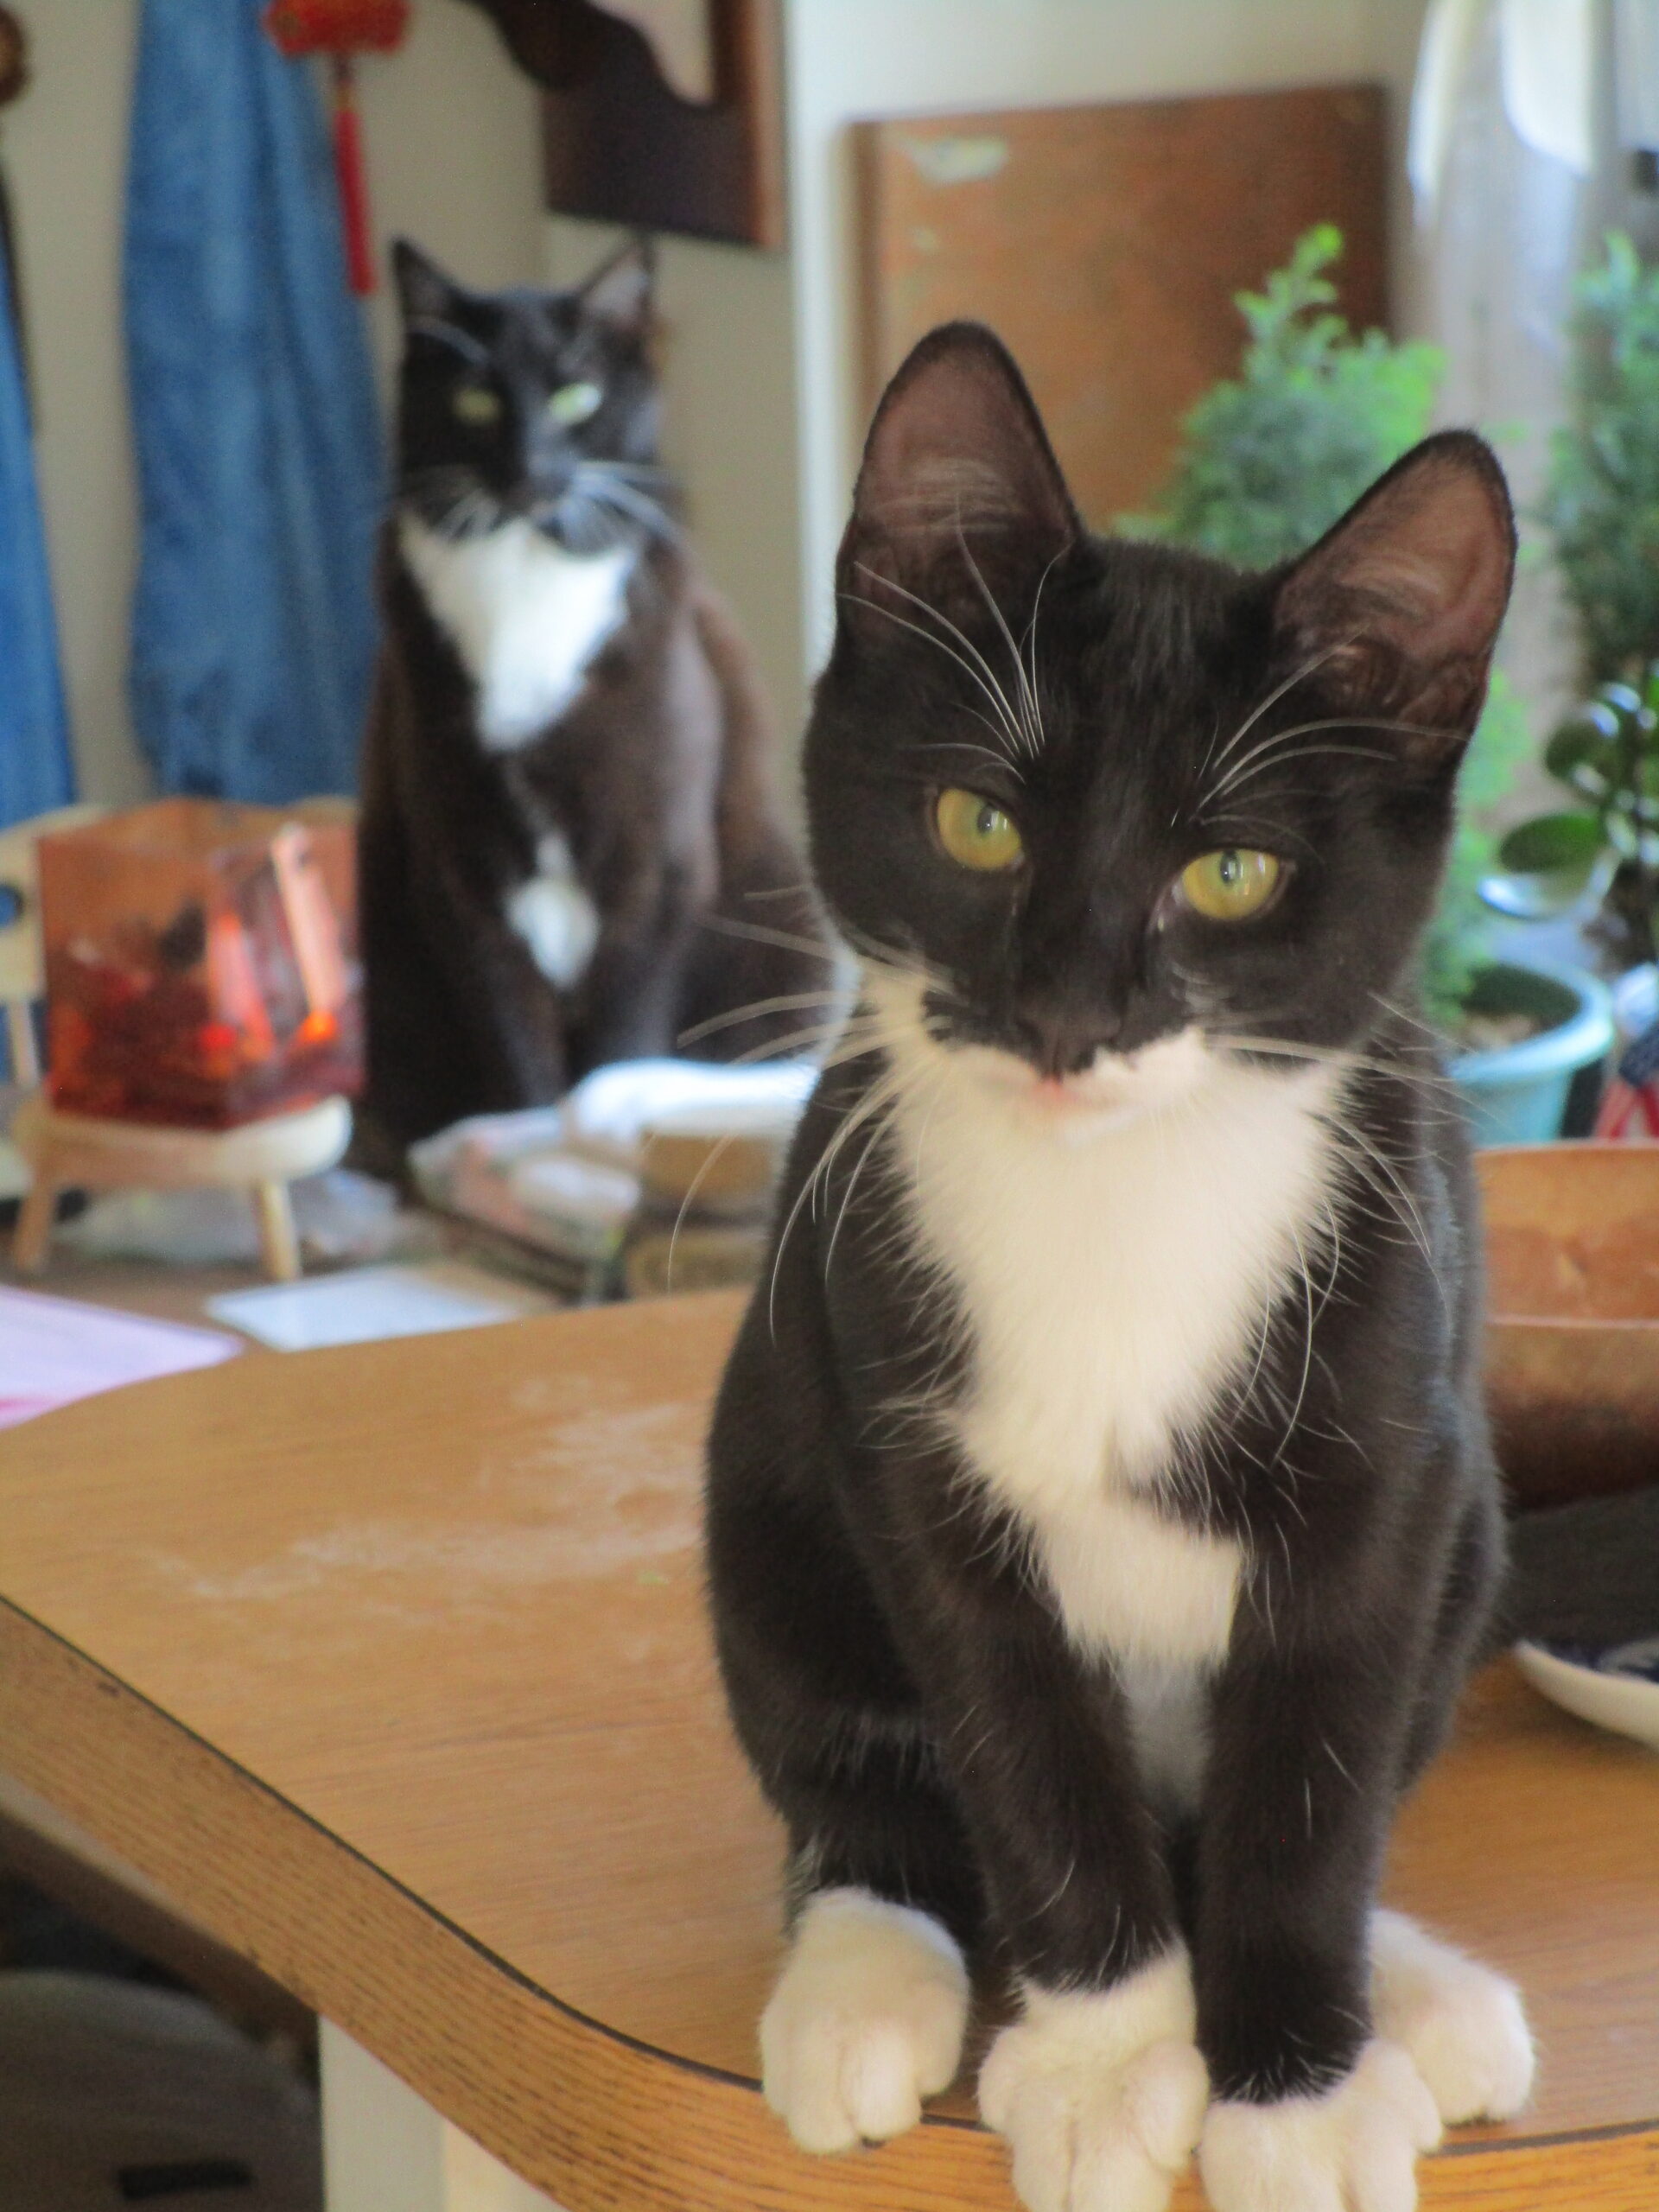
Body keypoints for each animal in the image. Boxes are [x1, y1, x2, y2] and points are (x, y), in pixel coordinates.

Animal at [356, 236, 829, 1161]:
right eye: (474, 399)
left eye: (578, 395)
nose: (532, 468)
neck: (524, 568)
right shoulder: (458, 874)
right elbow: (513, 1035)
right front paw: (529, 1138)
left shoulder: (660, 861)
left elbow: (621, 1033)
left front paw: (588, 1134)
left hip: (781, 915)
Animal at [704, 322, 1535, 2212]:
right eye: (977, 823)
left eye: (1228, 869)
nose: (1066, 1015)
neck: (1116, 1196)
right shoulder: (905, 1452)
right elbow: (1027, 1757)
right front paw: (1102, 2065)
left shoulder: (1388, 1460)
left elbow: (1312, 1784)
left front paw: (1296, 2088)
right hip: (763, 1484)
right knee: (854, 1796)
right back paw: (859, 1981)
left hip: (1474, 1518)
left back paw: (1415, 1992)